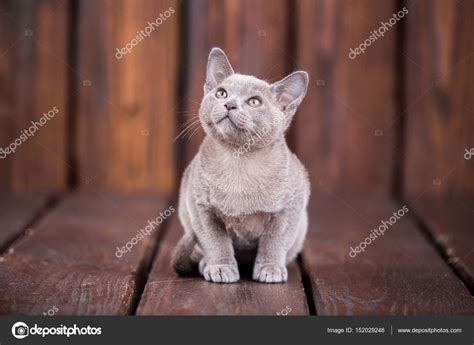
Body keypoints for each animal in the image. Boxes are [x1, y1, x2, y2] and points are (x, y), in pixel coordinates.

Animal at [172, 47, 310, 282]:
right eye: (221, 93)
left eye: (254, 102)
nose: (229, 104)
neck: (238, 159)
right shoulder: (200, 207)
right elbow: (216, 242)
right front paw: (220, 267)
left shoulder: (290, 207)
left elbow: (274, 241)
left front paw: (270, 268)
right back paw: (205, 263)